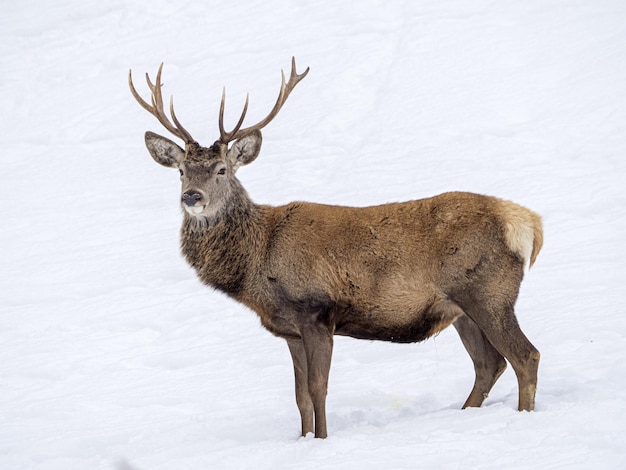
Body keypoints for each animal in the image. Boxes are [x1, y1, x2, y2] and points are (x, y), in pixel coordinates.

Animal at [128, 58, 540, 440]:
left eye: (221, 170)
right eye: (181, 170)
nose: (192, 197)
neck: (257, 262)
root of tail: (527, 223)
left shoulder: (316, 312)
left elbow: (318, 389)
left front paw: (322, 440)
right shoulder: (290, 330)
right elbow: (299, 397)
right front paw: (303, 439)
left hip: (488, 293)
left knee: (524, 356)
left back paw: (523, 417)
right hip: (461, 309)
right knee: (489, 364)